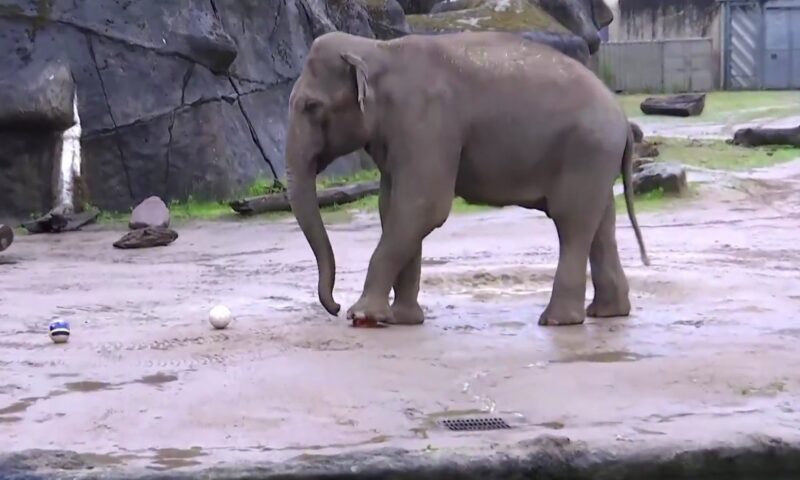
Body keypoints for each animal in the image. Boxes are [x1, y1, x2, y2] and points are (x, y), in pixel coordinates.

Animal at [285, 30, 649, 328]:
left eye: (312, 106)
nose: (334, 306)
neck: (377, 48)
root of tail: (622, 118)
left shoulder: (426, 121)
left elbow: (423, 207)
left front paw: (363, 316)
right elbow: (393, 208)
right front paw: (403, 320)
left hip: (585, 151)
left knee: (572, 223)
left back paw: (558, 321)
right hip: (596, 159)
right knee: (601, 225)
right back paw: (607, 313)